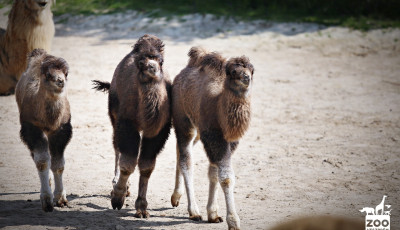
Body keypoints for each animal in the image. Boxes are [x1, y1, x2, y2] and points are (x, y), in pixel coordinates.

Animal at [15, 49, 72, 212]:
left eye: (66, 73)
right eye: (48, 75)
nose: (60, 81)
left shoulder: (61, 130)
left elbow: (58, 164)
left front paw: (61, 198)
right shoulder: (31, 128)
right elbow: (42, 161)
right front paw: (46, 200)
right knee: (37, 156)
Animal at [93, 33, 171, 217]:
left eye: (161, 61)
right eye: (140, 63)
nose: (152, 68)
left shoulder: (158, 132)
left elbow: (147, 166)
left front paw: (142, 207)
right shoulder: (127, 124)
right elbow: (128, 163)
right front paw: (117, 198)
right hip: (114, 116)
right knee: (116, 148)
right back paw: (118, 184)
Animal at [171, 47, 253, 230]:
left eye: (252, 69)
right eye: (233, 72)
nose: (247, 78)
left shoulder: (230, 141)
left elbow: (214, 173)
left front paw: (213, 214)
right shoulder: (214, 138)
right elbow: (226, 178)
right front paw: (233, 222)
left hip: (197, 132)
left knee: (180, 153)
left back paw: (176, 197)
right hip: (184, 122)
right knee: (186, 161)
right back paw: (193, 211)